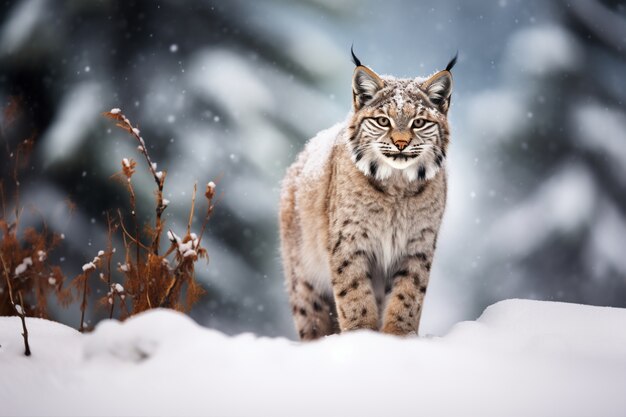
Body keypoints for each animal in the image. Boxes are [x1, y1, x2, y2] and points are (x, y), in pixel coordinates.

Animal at [280, 50, 454, 340]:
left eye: (419, 123)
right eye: (383, 121)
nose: (401, 144)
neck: (397, 186)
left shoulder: (418, 243)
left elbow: (409, 295)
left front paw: (399, 337)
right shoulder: (349, 240)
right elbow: (354, 294)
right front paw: (361, 336)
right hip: (304, 276)